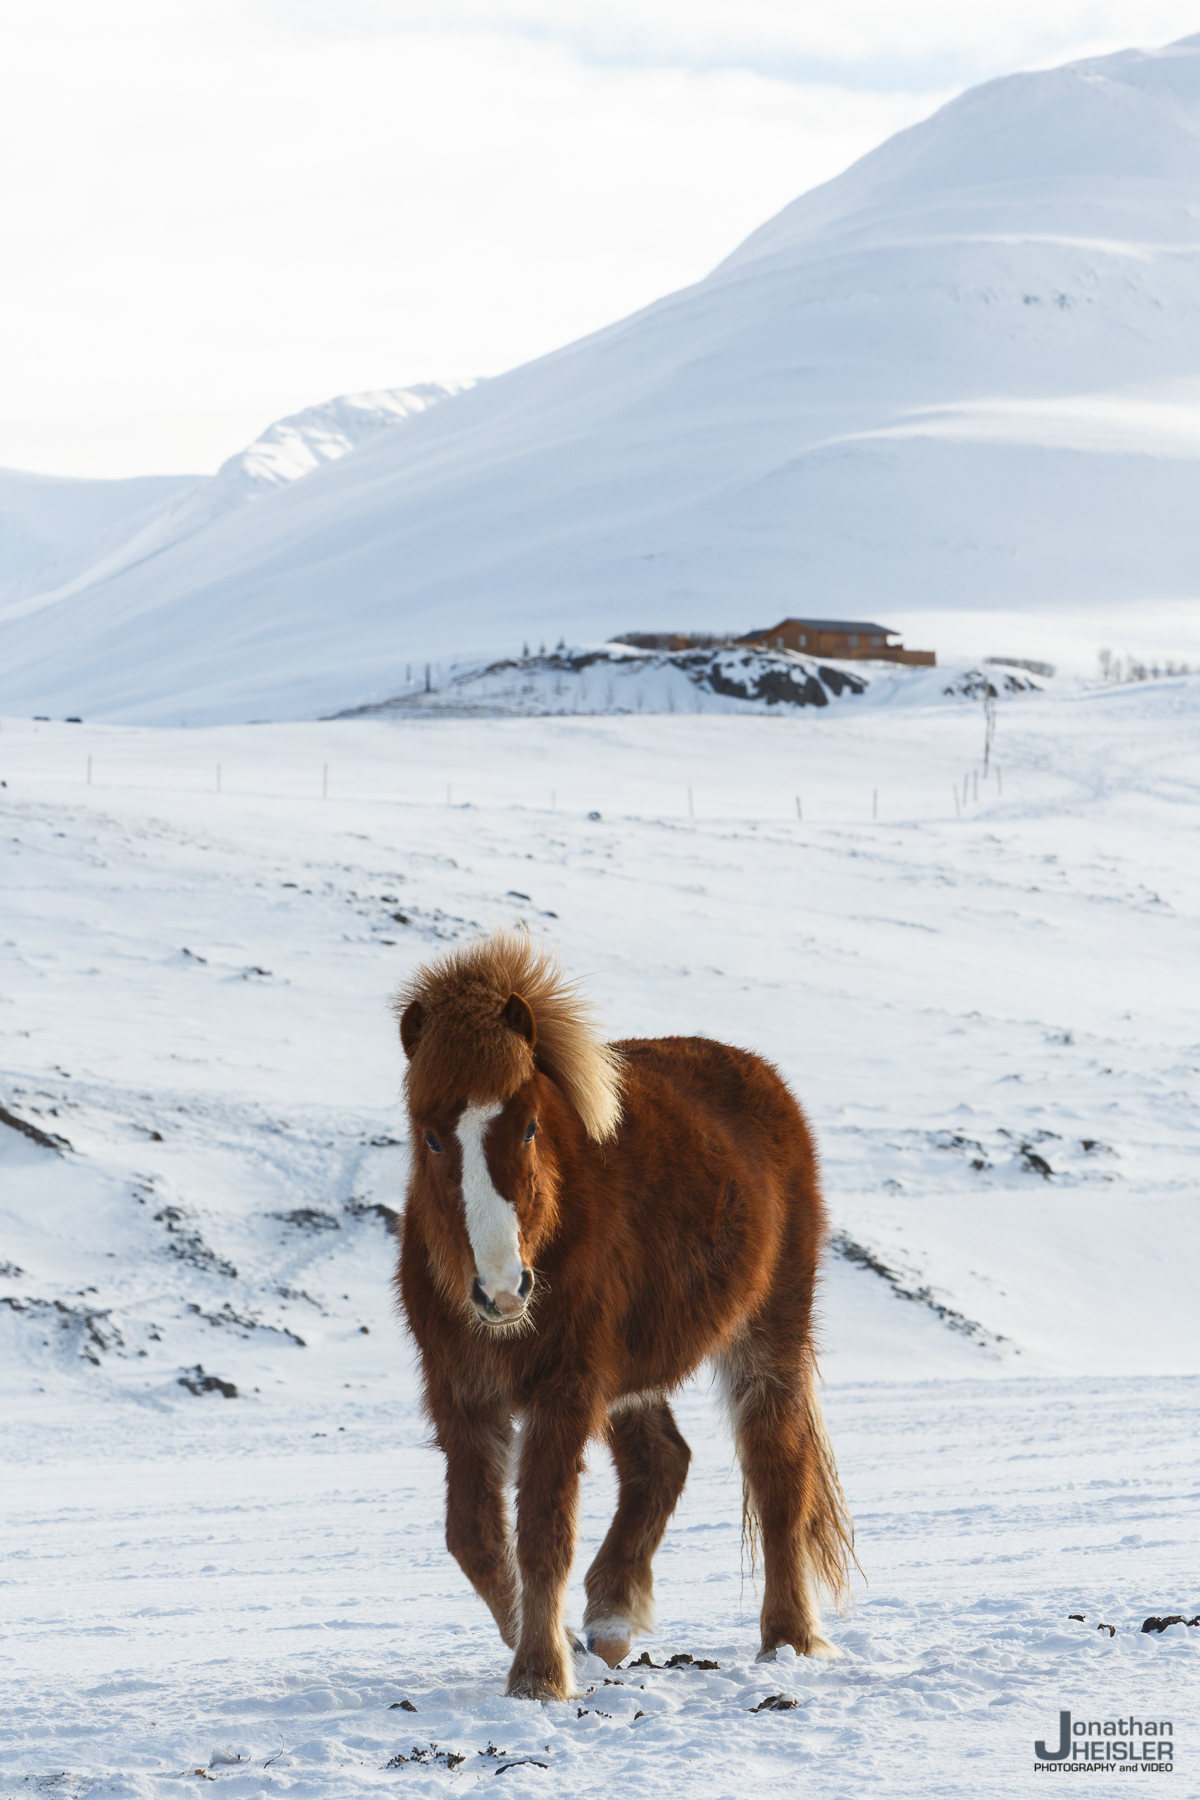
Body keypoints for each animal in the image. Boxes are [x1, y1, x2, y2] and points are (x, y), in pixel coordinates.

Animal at [394, 928, 852, 1699]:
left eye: (529, 1128)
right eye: (430, 1137)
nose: (502, 1291)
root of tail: (762, 1078)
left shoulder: (566, 1389)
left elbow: (543, 1532)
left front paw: (540, 1677)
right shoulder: (461, 1393)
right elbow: (475, 1537)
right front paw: (563, 1649)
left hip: (769, 1328)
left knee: (778, 1470)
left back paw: (787, 1638)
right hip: (630, 1379)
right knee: (662, 1463)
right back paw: (608, 1620)